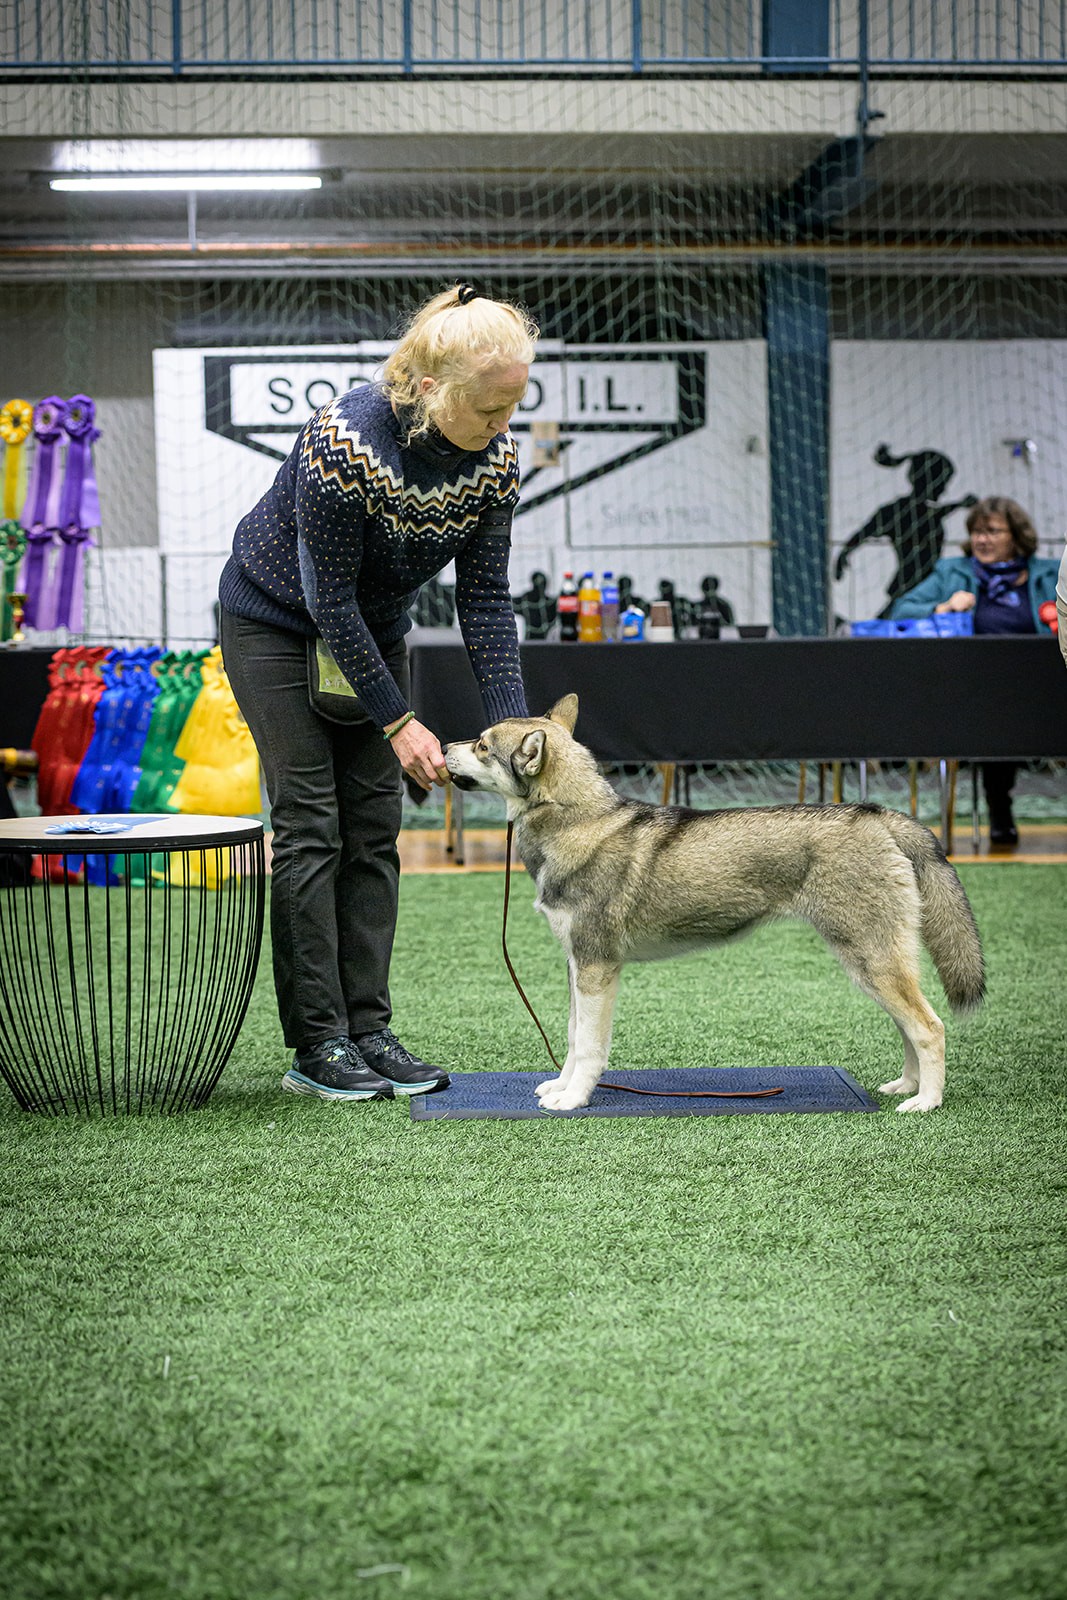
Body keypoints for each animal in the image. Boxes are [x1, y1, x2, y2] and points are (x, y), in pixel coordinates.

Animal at [444, 696, 984, 1113]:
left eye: (482, 745)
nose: (443, 747)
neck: (577, 821)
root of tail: (878, 814)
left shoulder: (597, 968)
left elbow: (590, 1047)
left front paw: (574, 1099)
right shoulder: (577, 965)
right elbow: (573, 1039)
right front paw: (560, 1087)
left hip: (870, 961)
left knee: (930, 1027)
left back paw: (926, 1101)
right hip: (871, 966)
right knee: (910, 1027)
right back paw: (906, 1086)